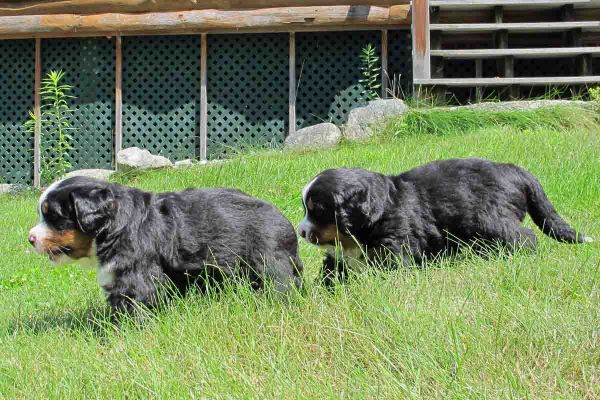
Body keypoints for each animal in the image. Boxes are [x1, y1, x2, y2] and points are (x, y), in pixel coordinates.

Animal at [28, 178, 302, 312]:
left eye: (53, 216)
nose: (30, 238)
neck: (117, 225)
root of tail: (284, 221)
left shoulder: (134, 277)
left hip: (271, 263)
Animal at [298, 158, 592, 286]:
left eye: (317, 210)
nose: (301, 231)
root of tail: (514, 169)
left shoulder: (395, 247)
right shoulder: (338, 259)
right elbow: (330, 273)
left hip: (492, 220)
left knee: (525, 238)